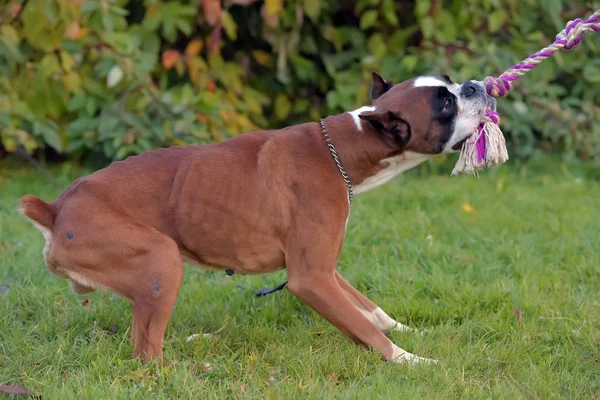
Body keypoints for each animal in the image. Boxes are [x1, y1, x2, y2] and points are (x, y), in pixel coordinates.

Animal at [21, 71, 494, 362]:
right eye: (445, 104)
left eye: (450, 83)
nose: (475, 85)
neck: (344, 147)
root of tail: (57, 208)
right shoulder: (311, 279)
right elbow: (366, 330)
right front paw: (412, 360)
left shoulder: (325, 270)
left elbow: (371, 312)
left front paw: (414, 333)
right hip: (162, 259)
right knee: (146, 354)